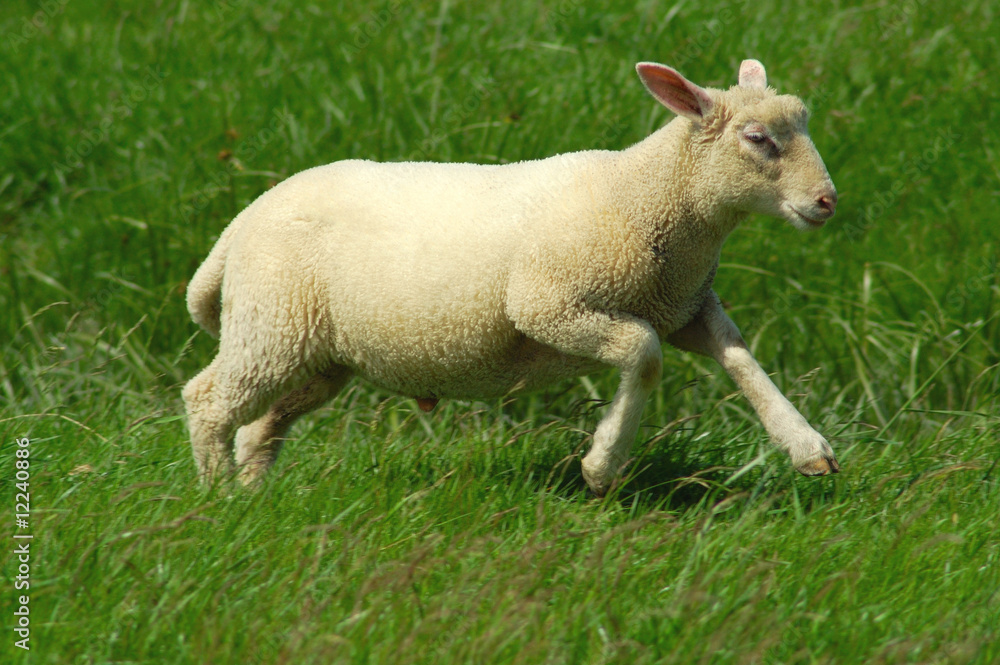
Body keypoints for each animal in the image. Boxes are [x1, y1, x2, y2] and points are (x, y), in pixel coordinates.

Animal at [184, 58, 840, 492]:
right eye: (758, 139)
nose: (828, 201)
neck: (644, 197)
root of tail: (241, 222)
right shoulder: (548, 305)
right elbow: (644, 354)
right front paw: (602, 464)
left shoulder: (686, 306)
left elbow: (740, 357)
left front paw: (807, 447)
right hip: (272, 323)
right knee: (209, 400)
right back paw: (219, 500)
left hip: (318, 350)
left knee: (259, 426)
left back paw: (254, 494)